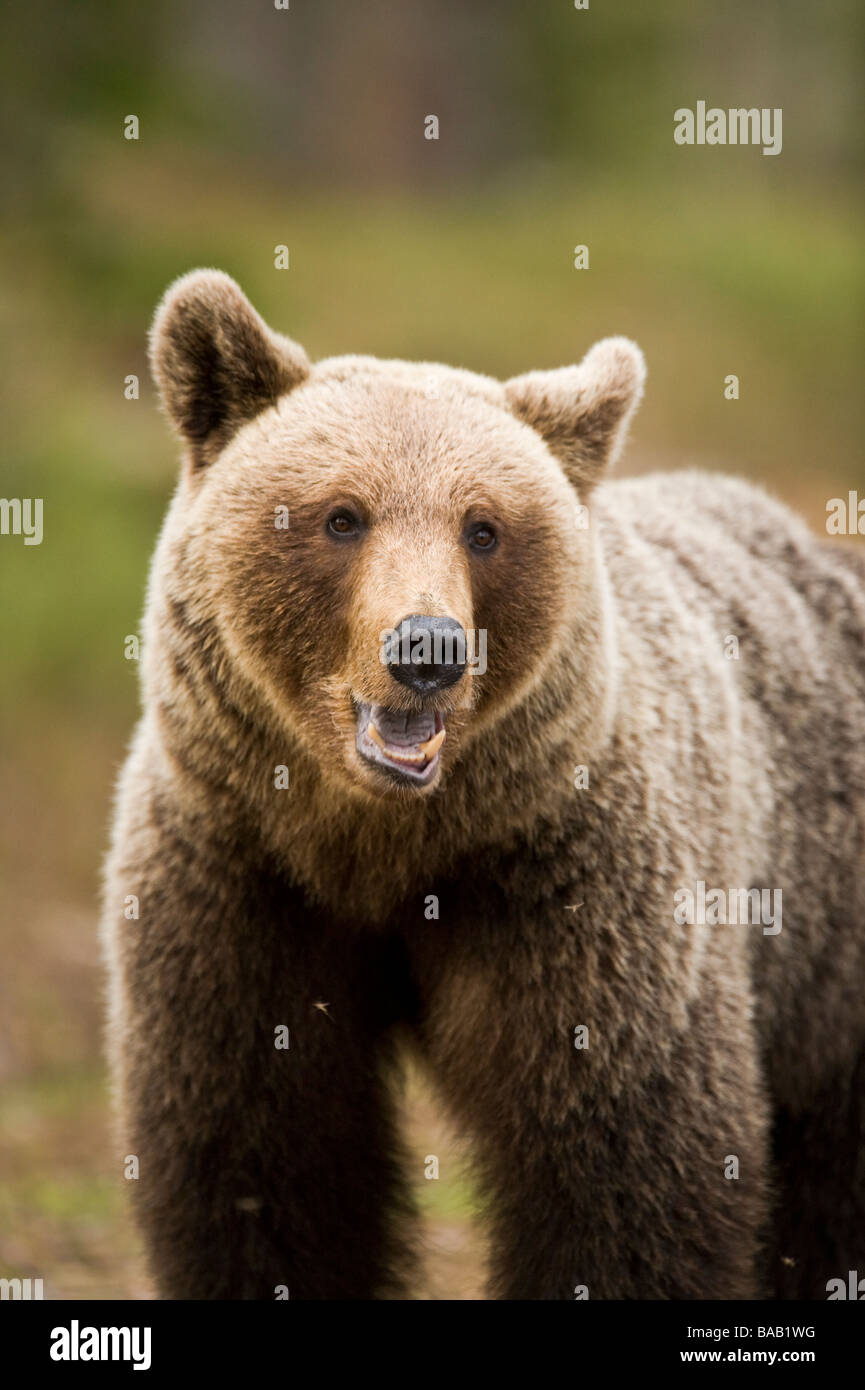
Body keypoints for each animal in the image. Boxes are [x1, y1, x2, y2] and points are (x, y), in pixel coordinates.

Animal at [101, 268, 865, 1300]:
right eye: (342, 516)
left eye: (484, 528)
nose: (427, 649)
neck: (382, 847)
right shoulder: (238, 877)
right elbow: (260, 1155)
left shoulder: (566, 882)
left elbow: (625, 1162)